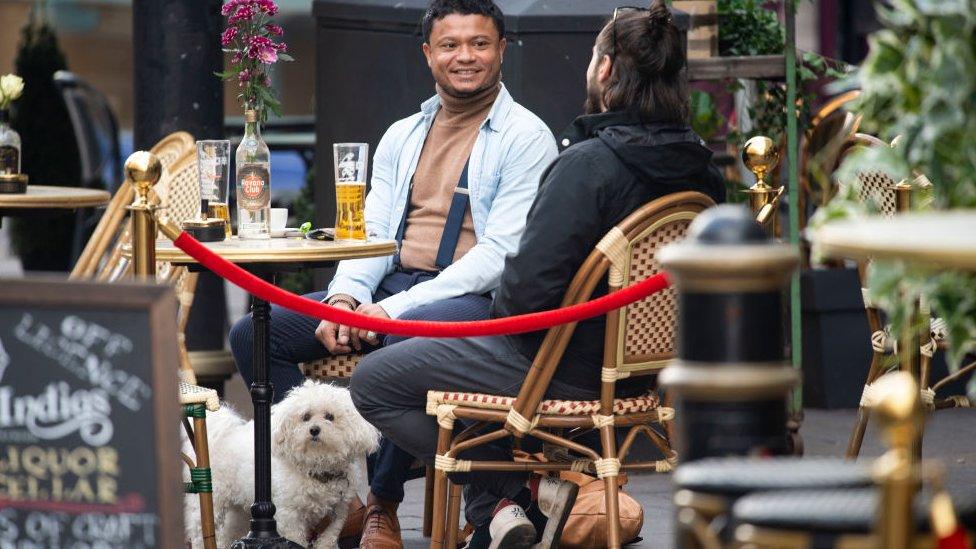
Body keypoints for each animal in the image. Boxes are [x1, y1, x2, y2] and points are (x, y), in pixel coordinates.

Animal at [183, 382, 382, 548]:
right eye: (306, 417)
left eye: (330, 417)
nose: (314, 430)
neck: (316, 469)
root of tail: (224, 434)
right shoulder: (289, 515)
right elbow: (295, 538)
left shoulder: (337, 514)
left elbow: (328, 540)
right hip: (214, 500)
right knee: (201, 532)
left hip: (240, 507)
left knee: (228, 531)